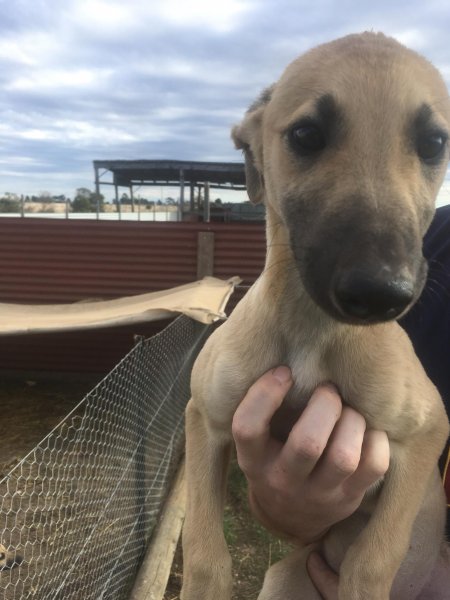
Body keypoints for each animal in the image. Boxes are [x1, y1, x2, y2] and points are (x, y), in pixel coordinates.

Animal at [180, 34, 450, 600]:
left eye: (434, 143)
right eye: (306, 135)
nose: (381, 292)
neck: (311, 330)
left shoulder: (426, 429)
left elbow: (373, 561)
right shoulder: (206, 418)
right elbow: (204, 556)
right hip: (286, 577)